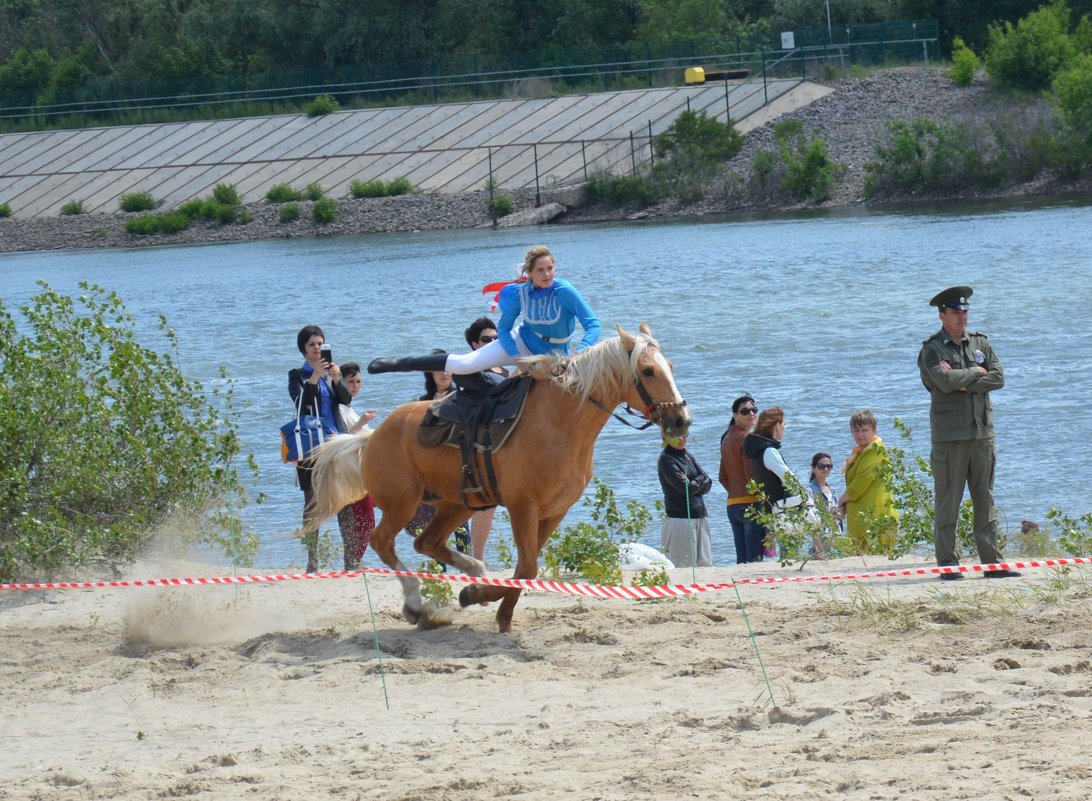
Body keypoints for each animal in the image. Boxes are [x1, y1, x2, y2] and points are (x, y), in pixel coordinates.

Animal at [307, 320, 685, 632]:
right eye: (648, 371)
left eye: (670, 367)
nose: (682, 419)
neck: (559, 424)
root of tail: (372, 437)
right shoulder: (523, 507)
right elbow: (528, 569)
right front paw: (485, 602)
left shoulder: (554, 512)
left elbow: (523, 569)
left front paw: (488, 604)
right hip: (403, 504)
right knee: (383, 542)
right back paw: (418, 605)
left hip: (458, 503)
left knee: (427, 542)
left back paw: (473, 572)